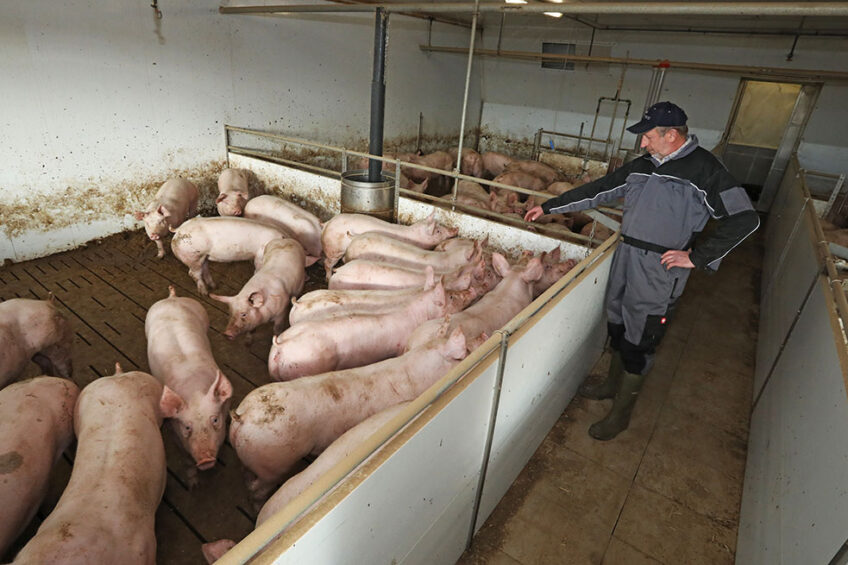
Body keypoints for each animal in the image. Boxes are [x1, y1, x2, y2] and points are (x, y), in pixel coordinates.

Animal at [144, 286, 234, 472]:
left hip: (202, 313)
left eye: (215, 419)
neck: (194, 390)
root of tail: (172, 298)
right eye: (187, 426)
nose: (205, 459)